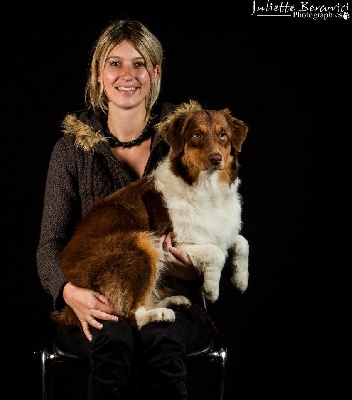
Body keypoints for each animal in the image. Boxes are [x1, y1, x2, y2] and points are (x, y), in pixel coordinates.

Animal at [53, 101, 249, 332]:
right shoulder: (172, 242)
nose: (216, 159)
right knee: (130, 314)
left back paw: (174, 301)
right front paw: (211, 288)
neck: (207, 189)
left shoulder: (222, 232)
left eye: (223, 135)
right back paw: (159, 313)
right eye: (197, 135)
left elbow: (241, 242)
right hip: (140, 243)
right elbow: (216, 252)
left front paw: (241, 279)